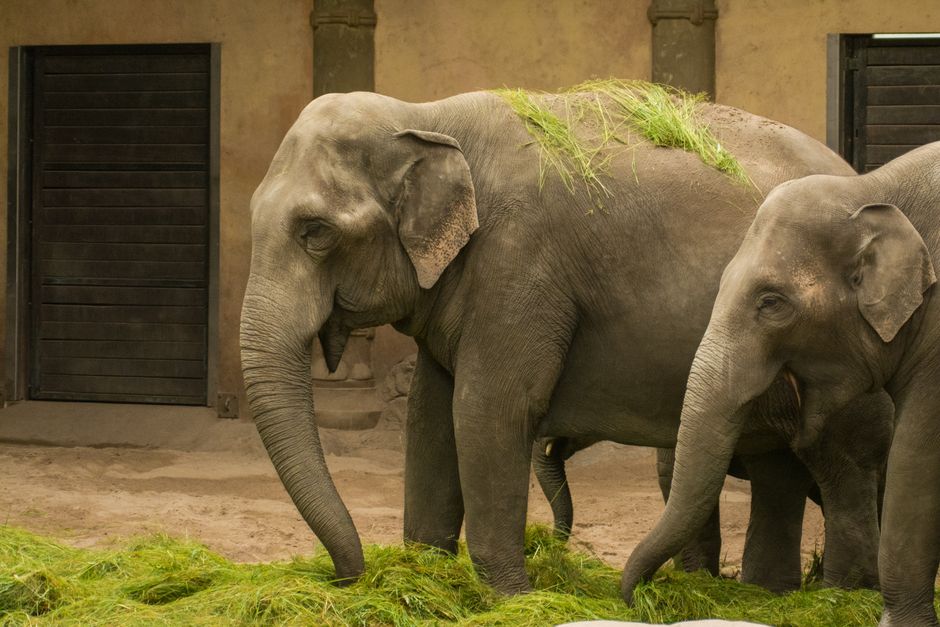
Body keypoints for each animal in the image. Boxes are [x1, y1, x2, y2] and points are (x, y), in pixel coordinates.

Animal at [240, 86, 884, 595]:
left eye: (316, 232)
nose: (347, 576)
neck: (426, 114)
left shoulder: (521, 264)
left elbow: (487, 411)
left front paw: (509, 598)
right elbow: (429, 418)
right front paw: (426, 575)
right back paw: (772, 594)